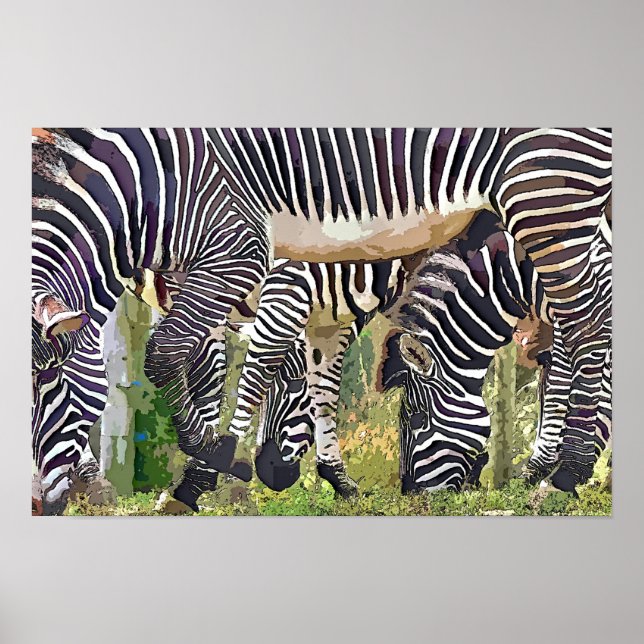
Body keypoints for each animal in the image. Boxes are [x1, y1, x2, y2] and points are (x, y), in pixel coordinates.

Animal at [32, 128, 611, 511]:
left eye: (417, 422)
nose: (416, 498)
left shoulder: (303, 297)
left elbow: (291, 377)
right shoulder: (295, 292)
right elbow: (281, 374)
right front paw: (219, 475)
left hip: (548, 191)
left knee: (589, 320)